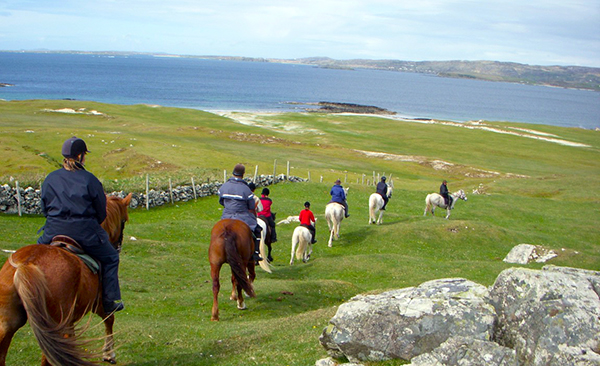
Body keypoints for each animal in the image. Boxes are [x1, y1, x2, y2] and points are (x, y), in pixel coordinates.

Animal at [0, 193, 132, 366]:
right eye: (123, 222)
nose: (118, 247)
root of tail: (27, 264)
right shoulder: (98, 302)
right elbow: (109, 318)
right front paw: (109, 354)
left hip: (8, 323)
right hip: (55, 327)